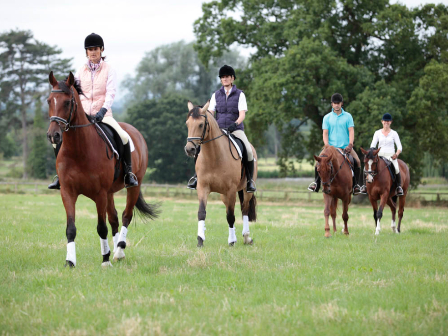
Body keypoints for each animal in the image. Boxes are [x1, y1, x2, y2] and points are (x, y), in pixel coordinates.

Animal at [46, 71, 159, 268]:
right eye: (48, 101)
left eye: (67, 102)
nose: (54, 135)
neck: (78, 150)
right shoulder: (68, 192)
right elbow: (71, 228)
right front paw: (70, 261)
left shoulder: (99, 194)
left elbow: (101, 227)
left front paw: (105, 259)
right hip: (110, 193)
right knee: (114, 218)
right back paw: (116, 251)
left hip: (133, 186)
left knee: (126, 216)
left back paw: (119, 251)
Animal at [184, 100, 258, 247]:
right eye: (187, 124)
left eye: (201, 124)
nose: (189, 149)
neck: (213, 157)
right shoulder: (203, 187)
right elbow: (201, 213)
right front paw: (200, 239)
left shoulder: (231, 190)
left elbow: (231, 216)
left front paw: (231, 241)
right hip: (224, 195)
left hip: (245, 191)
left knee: (244, 209)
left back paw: (246, 237)